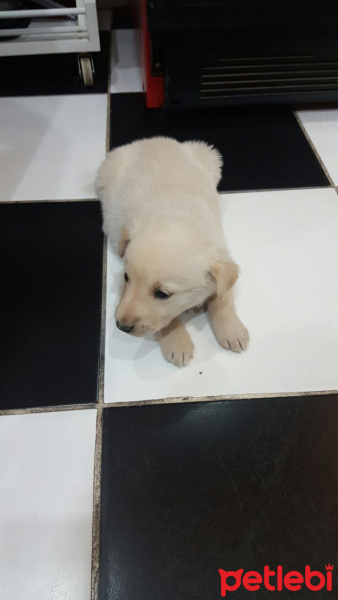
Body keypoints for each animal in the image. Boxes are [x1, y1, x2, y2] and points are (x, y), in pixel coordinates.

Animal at [95, 137, 248, 368]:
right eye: (126, 277)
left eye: (162, 294)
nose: (121, 326)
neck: (175, 212)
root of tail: (152, 139)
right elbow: (166, 320)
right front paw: (177, 342)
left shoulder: (222, 257)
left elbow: (223, 298)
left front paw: (232, 331)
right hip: (106, 172)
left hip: (209, 157)